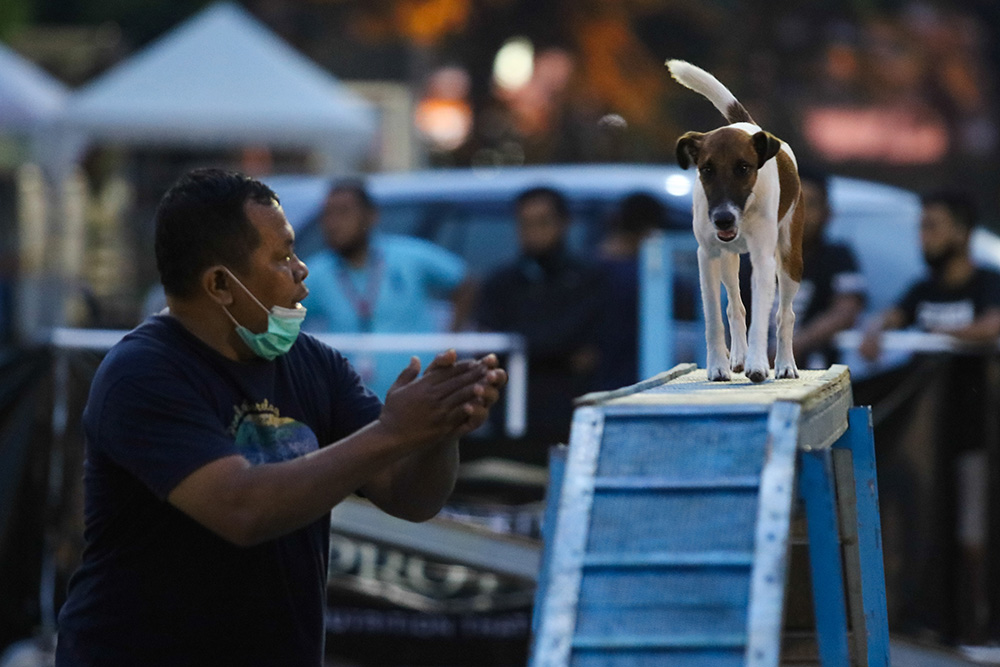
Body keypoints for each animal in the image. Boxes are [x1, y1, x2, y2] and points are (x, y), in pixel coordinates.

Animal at [664, 60, 804, 384]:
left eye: (743, 168)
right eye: (706, 170)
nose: (723, 218)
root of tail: (749, 125)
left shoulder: (763, 259)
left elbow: (763, 317)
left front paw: (758, 364)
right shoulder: (707, 256)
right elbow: (714, 317)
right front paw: (718, 365)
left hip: (790, 258)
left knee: (786, 315)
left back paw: (784, 364)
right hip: (728, 262)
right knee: (735, 307)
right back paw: (738, 357)